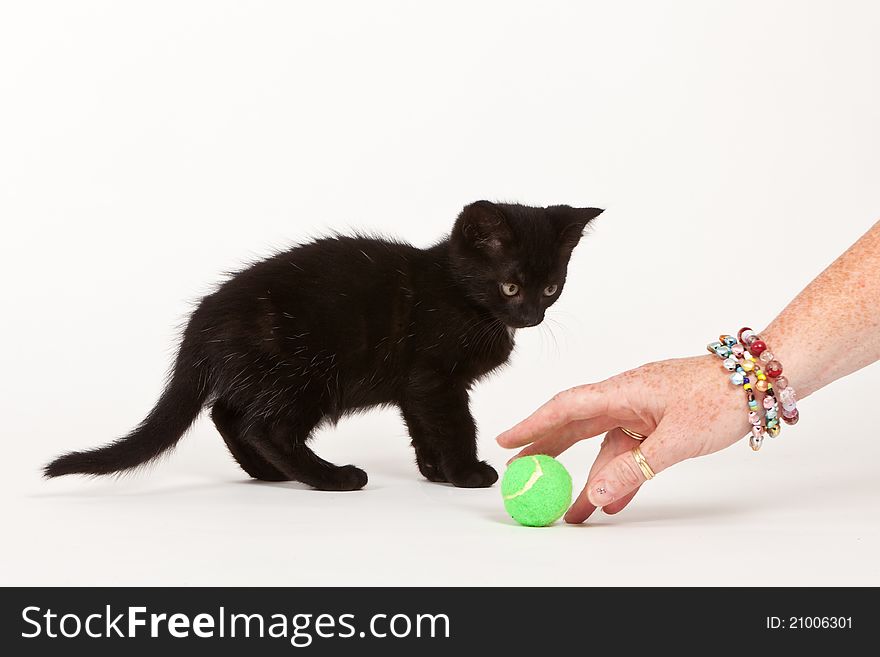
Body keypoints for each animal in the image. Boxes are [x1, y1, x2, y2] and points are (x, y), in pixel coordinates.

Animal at [44, 202, 600, 490]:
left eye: (551, 288)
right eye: (510, 286)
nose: (530, 316)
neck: (461, 295)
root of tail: (202, 319)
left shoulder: (414, 387)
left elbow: (424, 426)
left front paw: (434, 471)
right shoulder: (434, 377)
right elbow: (454, 424)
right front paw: (465, 473)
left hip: (266, 371)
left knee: (228, 413)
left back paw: (265, 473)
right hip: (308, 372)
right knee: (264, 426)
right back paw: (330, 477)